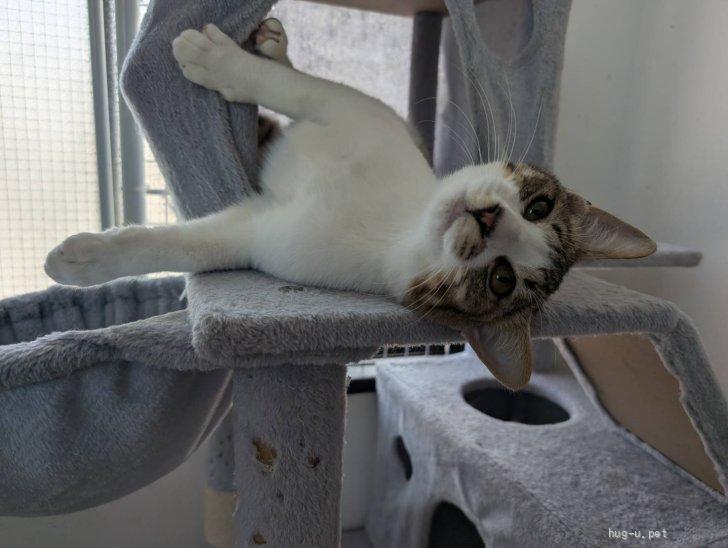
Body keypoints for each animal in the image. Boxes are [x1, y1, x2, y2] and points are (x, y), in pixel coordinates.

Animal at [44, 18, 656, 389]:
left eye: (501, 281)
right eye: (538, 207)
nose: (488, 219)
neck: (395, 221)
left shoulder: (267, 237)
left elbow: (188, 245)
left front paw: (81, 259)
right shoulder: (352, 110)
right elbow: (295, 89)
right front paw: (226, 62)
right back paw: (274, 47)